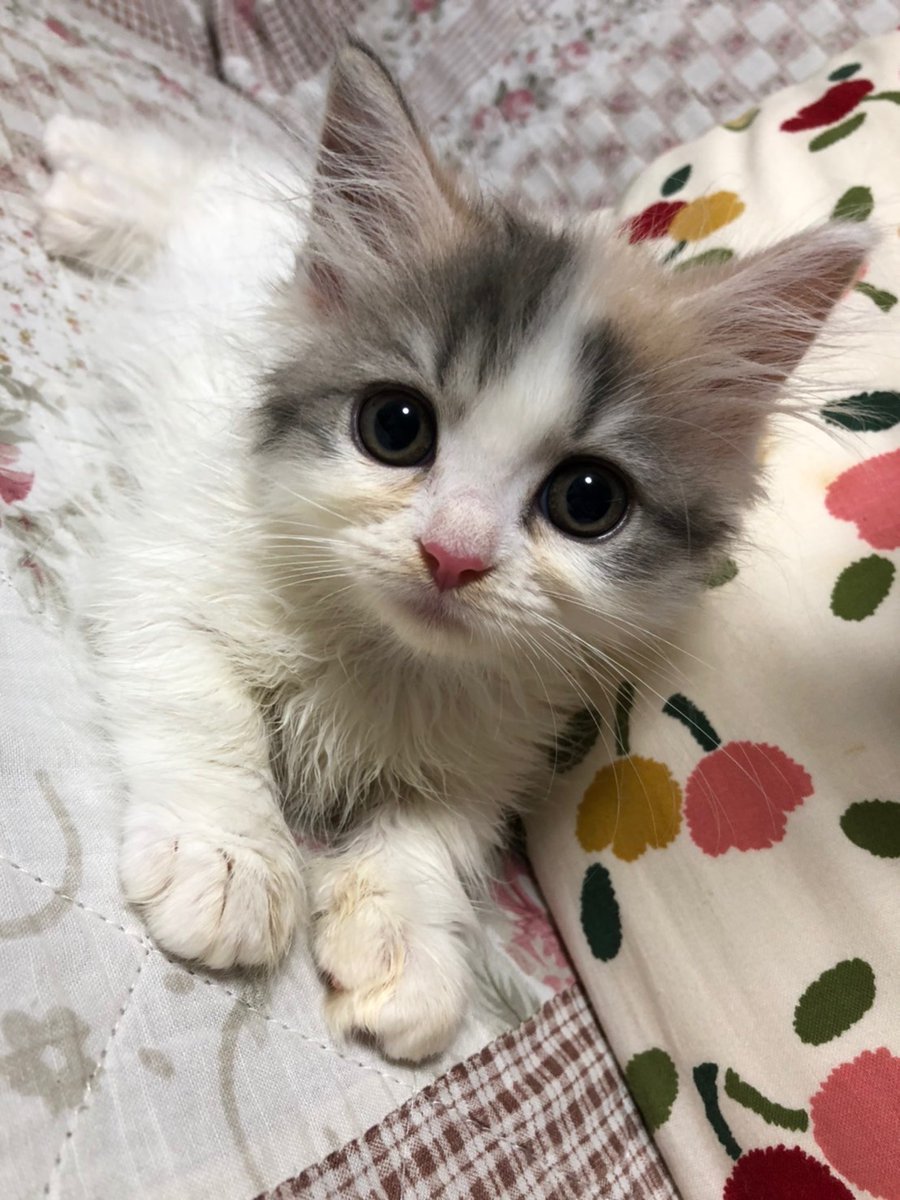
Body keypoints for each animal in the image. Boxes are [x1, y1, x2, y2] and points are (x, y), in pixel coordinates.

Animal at [39, 41, 869, 1062]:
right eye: (395, 427)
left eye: (588, 501)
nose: (453, 554)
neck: (387, 657)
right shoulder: (165, 566)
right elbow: (206, 709)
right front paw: (230, 863)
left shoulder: (501, 742)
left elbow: (441, 827)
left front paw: (407, 943)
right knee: (199, 175)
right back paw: (90, 179)